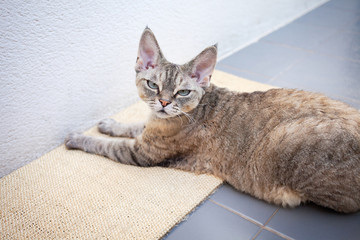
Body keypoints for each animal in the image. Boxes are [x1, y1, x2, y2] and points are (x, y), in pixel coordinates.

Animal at [65, 27, 360, 213]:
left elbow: (103, 145)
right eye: (152, 85)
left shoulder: (142, 153)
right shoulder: (148, 131)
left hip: (286, 139)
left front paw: (78, 137)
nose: (164, 103)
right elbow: (133, 126)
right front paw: (110, 124)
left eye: (182, 92)